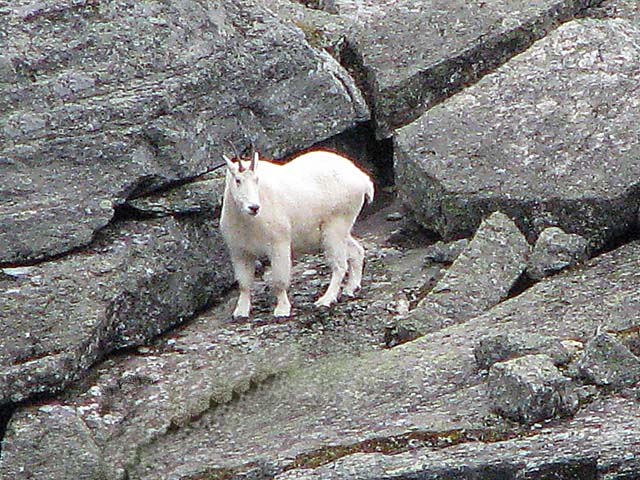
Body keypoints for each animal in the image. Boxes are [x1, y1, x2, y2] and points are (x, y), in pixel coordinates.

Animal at [219, 149, 374, 318]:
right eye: (238, 180)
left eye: (256, 179)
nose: (253, 207)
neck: (247, 221)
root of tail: (363, 179)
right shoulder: (239, 251)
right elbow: (244, 283)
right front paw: (240, 312)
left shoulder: (278, 244)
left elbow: (279, 280)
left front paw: (282, 310)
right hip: (338, 230)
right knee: (356, 251)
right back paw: (350, 288)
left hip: (336, 225)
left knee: (340, 265)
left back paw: (325, 300)